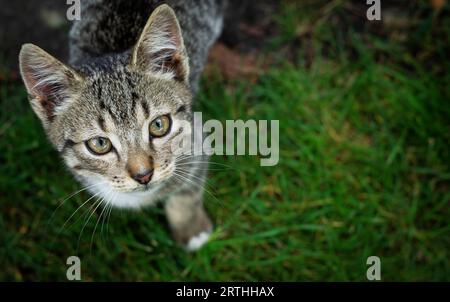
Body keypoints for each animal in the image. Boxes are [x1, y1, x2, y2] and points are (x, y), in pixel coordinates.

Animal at [18, 4, 223, 250]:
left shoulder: (197, 141)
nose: (144, 175)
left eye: (159, 125)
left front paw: (190, 228)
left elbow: (188, 191)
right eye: (99, 143)